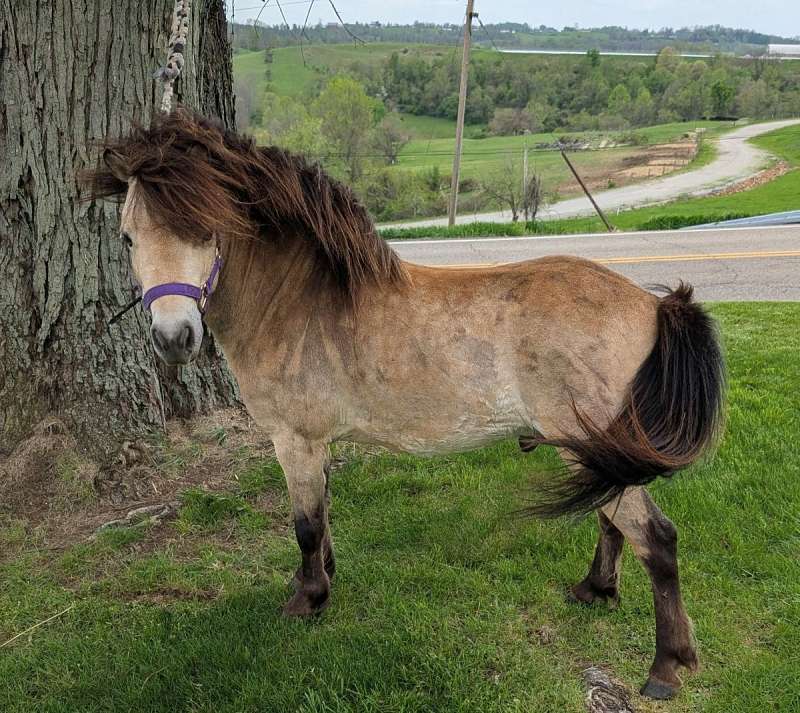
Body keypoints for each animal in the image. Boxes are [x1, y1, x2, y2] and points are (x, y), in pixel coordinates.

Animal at [83, 110, 725, 700]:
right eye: (128, 237)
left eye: (205, 231)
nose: (174, 338)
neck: (301, 303)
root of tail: (653, 305)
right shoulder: (317, 445)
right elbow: (324, 515)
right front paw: (323, 579)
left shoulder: (294, 441)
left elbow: (305, 524)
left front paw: (307, 599)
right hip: (598, 452)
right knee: (612, 521)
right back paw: (595, 590)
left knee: (656, 540)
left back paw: (666, 666)